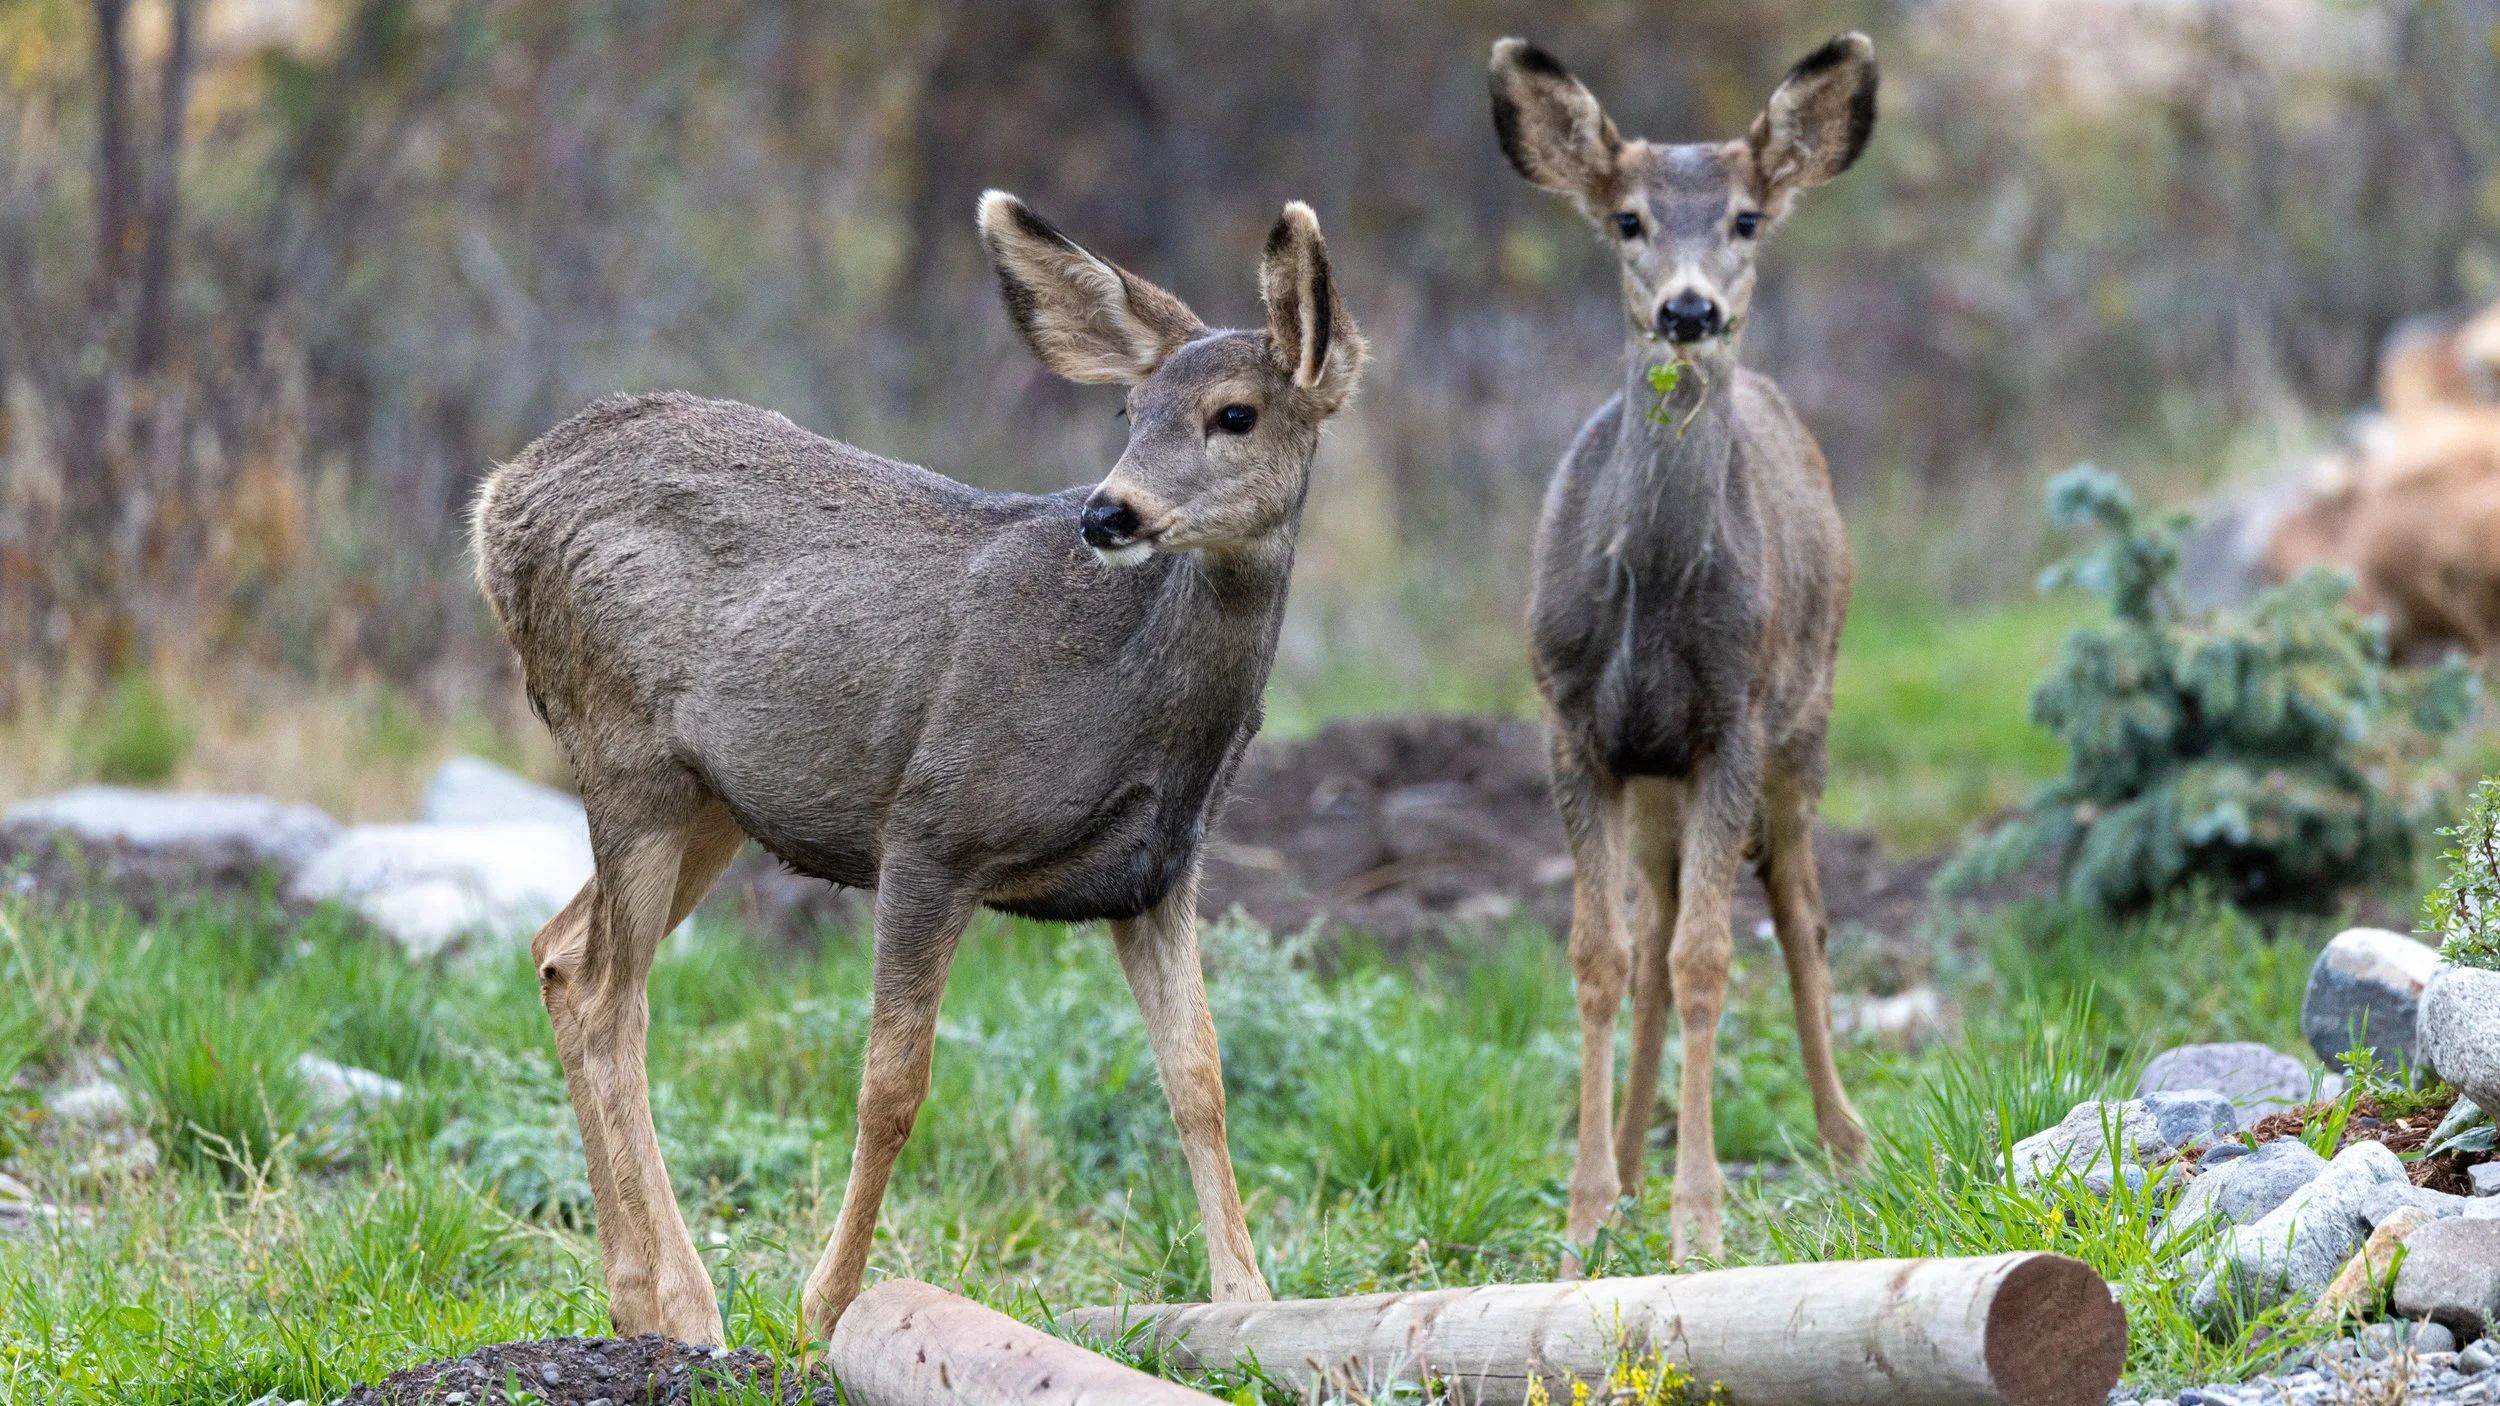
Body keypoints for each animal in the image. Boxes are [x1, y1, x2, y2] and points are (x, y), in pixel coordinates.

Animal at [470, 191, 1363, 1343]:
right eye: (1129, 413)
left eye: (1236, 415)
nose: (1108, 512)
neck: (1138, 706)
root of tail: (496, 501)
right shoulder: (935, 827)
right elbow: (892, 1086)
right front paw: (825, 1307)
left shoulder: (1160, 874)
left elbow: (1198, 1075)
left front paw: (1245, 1299)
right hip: (626, 750)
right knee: (607, 992)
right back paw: (688, 1306)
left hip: (710, 799)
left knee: (559, 950)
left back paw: (639, 1304)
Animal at [1487, 33, 1879, 1264]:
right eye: (1627, 218)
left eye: (1746, 217)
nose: (1690, 309)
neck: (1650, 598)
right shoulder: (1574, 728)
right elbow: (1601, 960)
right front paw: (1583, 1215)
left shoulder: (1730, 727)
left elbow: (1710, 960)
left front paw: (1697, 1223)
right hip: (1655, 775)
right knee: (1652, 927)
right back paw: (1621, 1149)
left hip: (1808, 717)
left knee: (1798, 914)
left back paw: (1849, 1141)